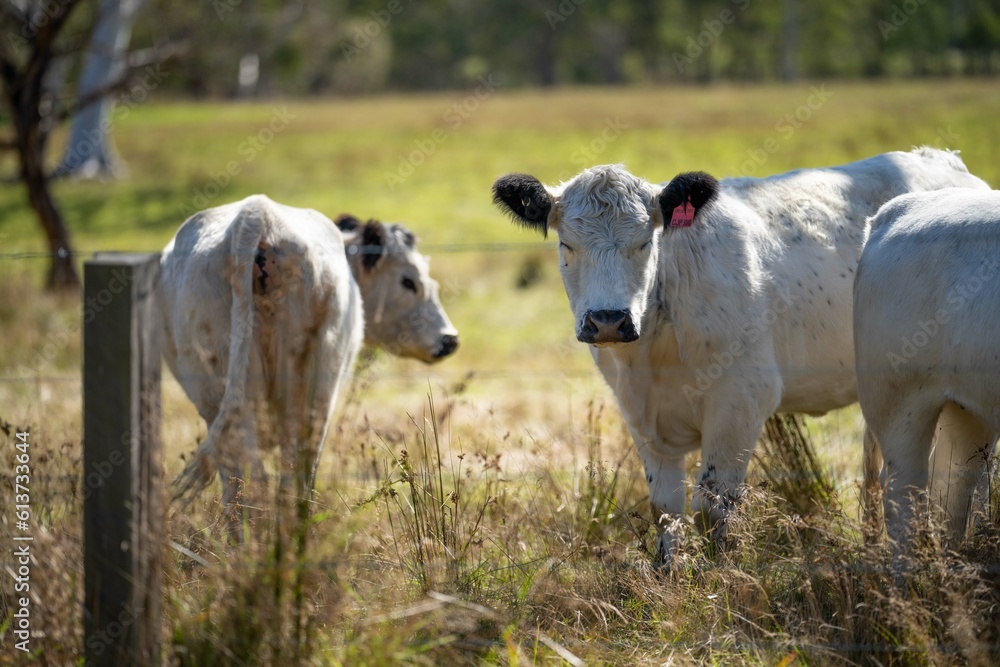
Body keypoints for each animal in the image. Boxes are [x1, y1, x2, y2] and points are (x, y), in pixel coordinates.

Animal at [161, 194, 459, 527]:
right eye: (409, 281)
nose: (450, 339)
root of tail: (256, 214)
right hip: (311, 385)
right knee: (293, 472)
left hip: (217, 388)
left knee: (245, 480)